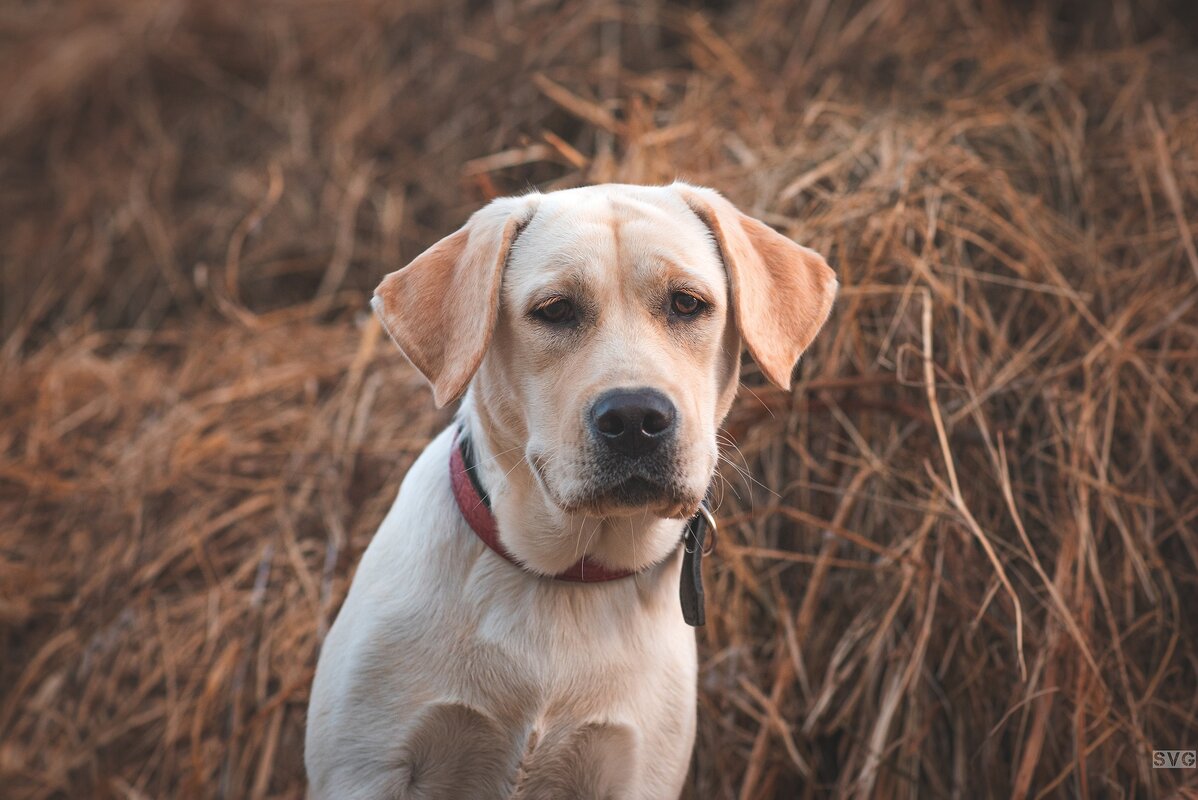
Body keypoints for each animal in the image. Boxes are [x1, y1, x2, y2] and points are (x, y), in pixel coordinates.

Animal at [304, 183, 838, 800]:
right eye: (554, 310)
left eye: (687, 303)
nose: (635, 418)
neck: (565, 577)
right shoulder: (367, 766)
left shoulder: (634, 773)